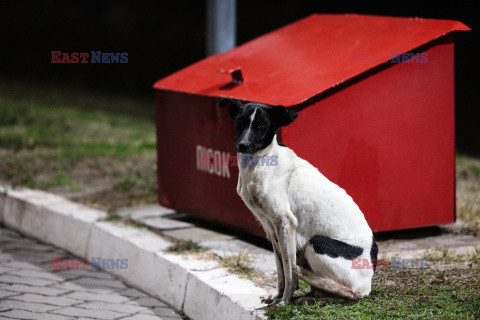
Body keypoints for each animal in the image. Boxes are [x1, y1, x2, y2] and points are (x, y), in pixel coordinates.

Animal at [218, 99, 378, 304]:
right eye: (240, 121)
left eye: (262, 124)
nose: (243, 145)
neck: (260, 163)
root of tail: (367, 285)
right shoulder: (271, 228)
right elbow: (280, 270)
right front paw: (277, 296)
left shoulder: (286, 224)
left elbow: (289, 272)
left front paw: (285, 301)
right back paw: (310, 296)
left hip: (316, 244)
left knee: (348, 294)